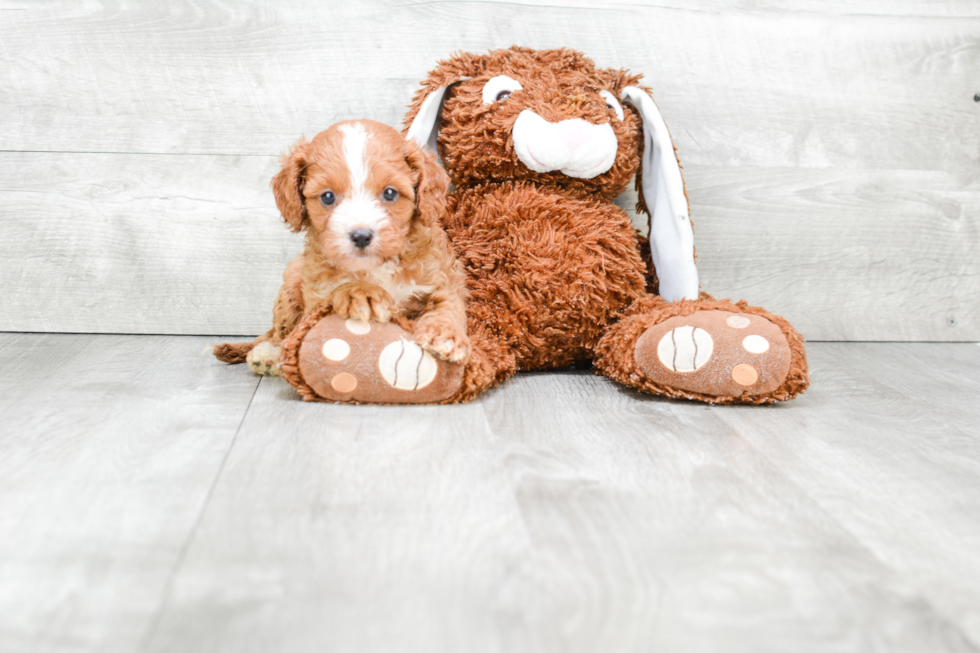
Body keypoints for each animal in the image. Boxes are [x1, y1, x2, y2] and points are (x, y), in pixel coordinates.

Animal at [213, 116, 470, 372]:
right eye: (327, 197)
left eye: (390, 193)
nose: (361, 236)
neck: (376, 268)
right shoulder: (316, 294)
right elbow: (335, 291)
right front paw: (361, 293)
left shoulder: (441, 275)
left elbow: (448, 304)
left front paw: (446, 334)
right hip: (292, 281)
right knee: (282, 333)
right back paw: (269, 354)